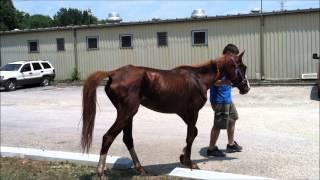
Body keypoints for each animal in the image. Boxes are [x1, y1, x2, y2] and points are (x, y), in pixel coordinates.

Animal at [80, 51, 250, 177]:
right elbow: (190, 136)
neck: (198, 79)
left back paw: (140, 168)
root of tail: (113, 73)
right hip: (127, 113)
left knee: (127, 139)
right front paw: (189, 162)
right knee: (108, 137)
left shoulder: (185, 114)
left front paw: (183, 156)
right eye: (243, 67)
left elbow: (193, 133)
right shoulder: (192, 113)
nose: (246, 88)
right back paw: (100, 172)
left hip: (128, 115)